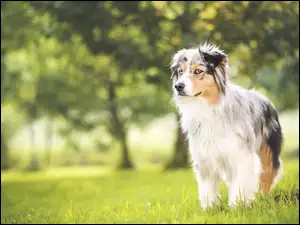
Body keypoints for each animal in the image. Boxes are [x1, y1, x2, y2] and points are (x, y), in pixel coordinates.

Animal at [170, 42, 282, 209]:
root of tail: (264, 97)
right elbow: (207, 187)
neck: (208, 108)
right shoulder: (204, 157)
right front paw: (210, 208)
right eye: (181, 72)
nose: (178, 86)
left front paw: (237, 206)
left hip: (268, 150)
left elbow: (241, 182)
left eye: (198, 71)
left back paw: (263, 199)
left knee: (267, 176)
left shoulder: (240, 154)